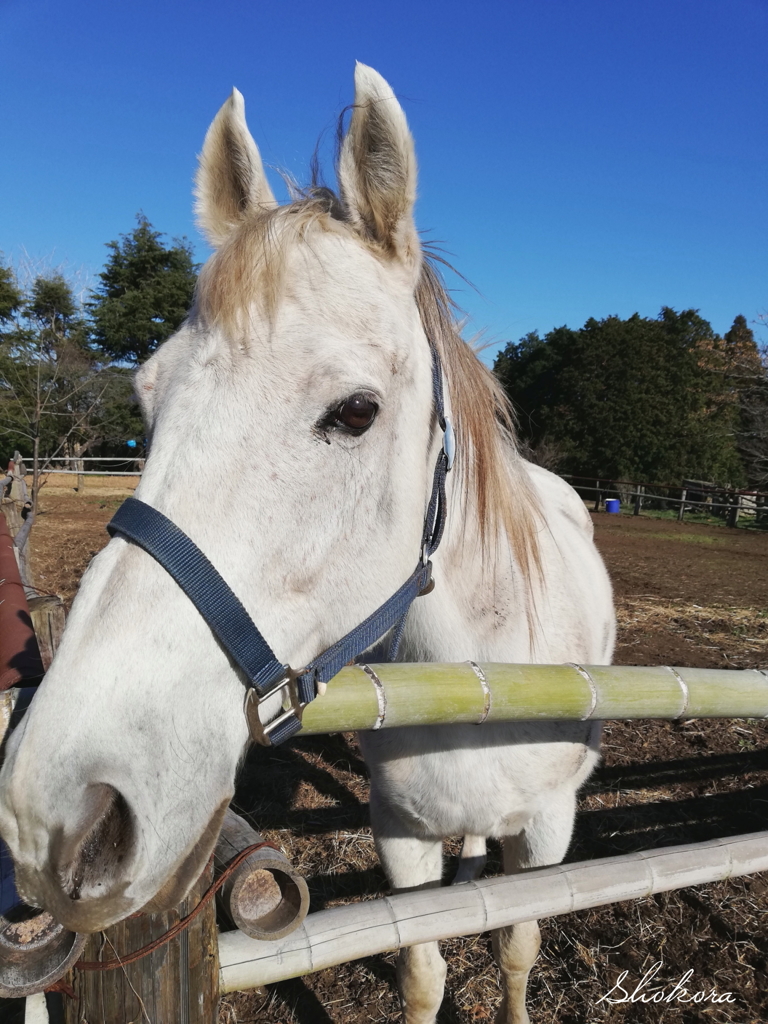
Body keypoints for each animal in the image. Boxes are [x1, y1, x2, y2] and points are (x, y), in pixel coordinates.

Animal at [0, 66, 614, 1024]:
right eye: (147, 395)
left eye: (356, 411)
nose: (56, 814)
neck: (488, 674)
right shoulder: (401, 836)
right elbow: (424, 970)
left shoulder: (550, 832)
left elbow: (517, 947)